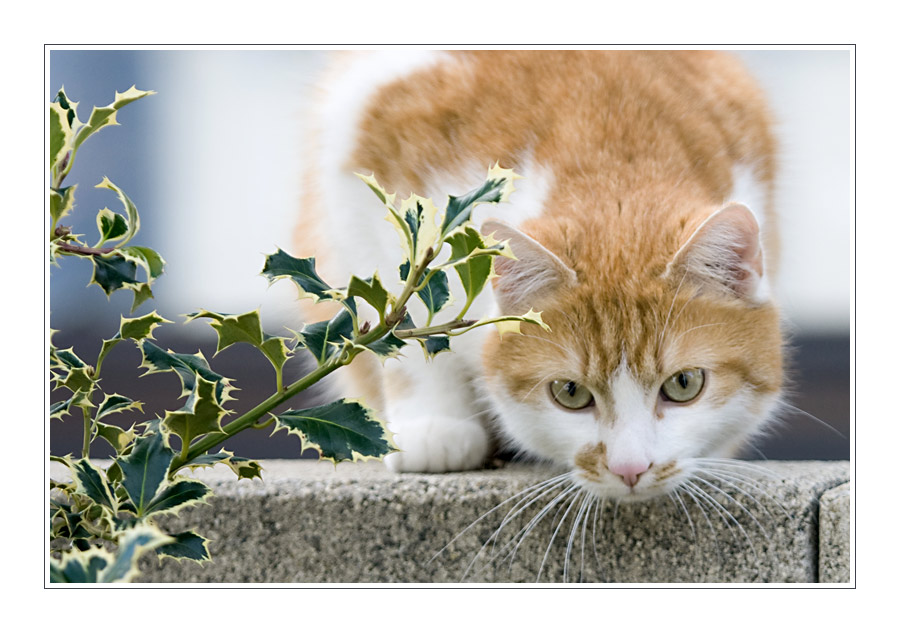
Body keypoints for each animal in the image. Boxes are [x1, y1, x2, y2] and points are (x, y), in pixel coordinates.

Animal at [296, 49, 780, 502]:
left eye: (684, 384)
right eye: (569, 392)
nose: (630, 469)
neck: (613, 164)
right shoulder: (372, 154)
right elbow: (405, 309)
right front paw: (433, 425)